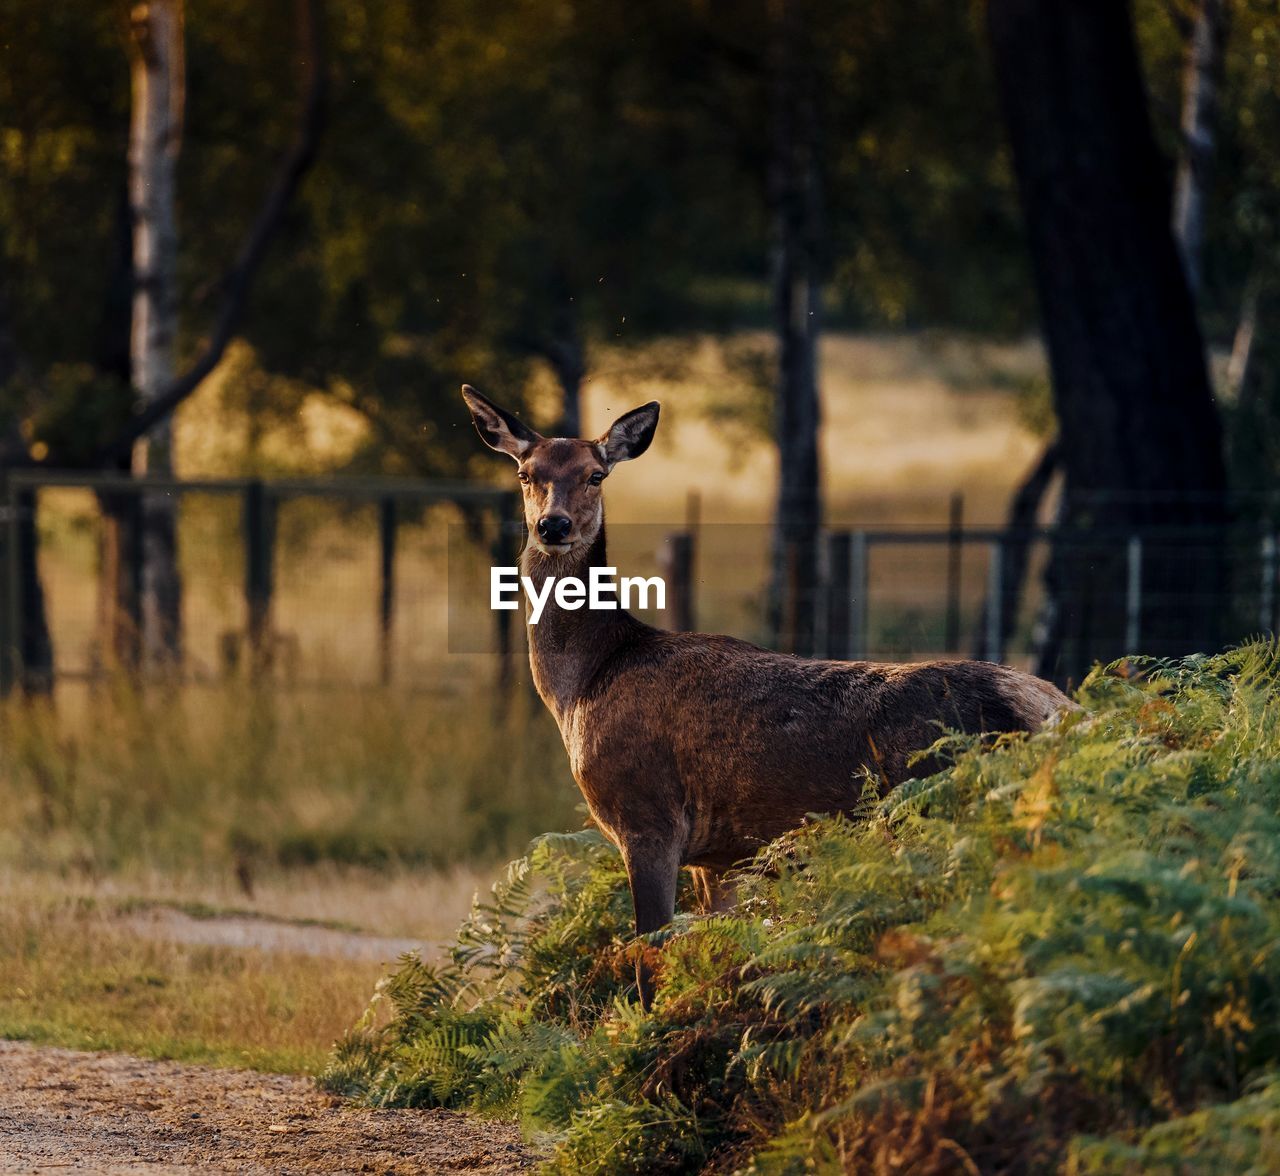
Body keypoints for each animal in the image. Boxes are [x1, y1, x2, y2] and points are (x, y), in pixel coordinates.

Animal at [460, 386, 1070, 1013]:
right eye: (527, 473)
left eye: (595, 474)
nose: (552, 525)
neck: (584, 685)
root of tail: (1055, 708)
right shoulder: (720, 858)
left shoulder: (647, 815)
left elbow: (649, 958)